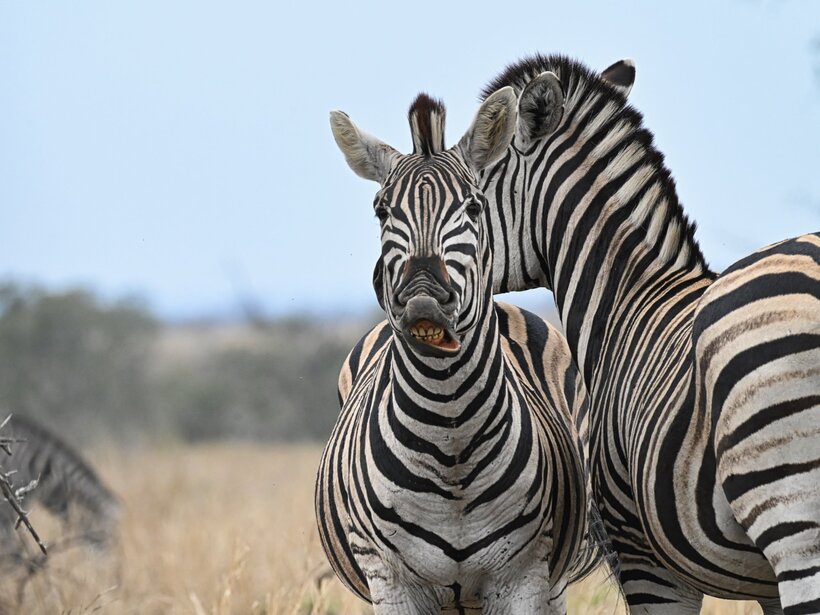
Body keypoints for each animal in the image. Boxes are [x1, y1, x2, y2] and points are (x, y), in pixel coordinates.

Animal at [316, 88, 601, 613]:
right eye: (382, 211)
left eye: (473, 207)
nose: (424, 299)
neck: (451, 440)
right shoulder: (390, 583)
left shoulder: (525, 576)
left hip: (551, 584)